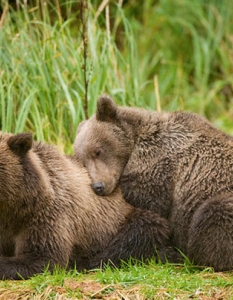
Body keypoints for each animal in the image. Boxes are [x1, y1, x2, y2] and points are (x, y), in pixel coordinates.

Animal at [74, 94, 233, 272]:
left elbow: (150, 203)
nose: (99, 186)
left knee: (212, 214)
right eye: (82, 161)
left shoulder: (156, 166)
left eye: (97, 151)